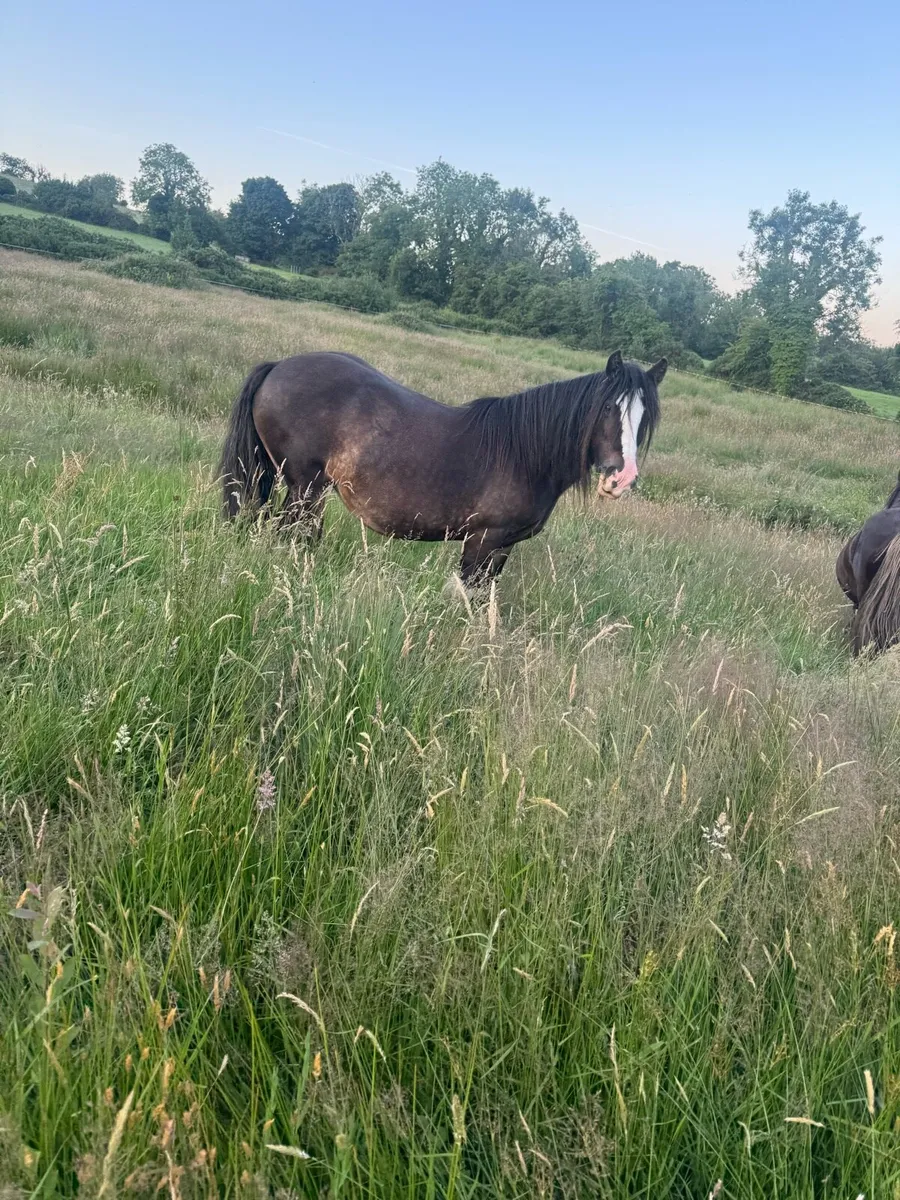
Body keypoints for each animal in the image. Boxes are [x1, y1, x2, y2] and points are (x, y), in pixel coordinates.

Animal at [218, 349, 665, 587]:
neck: (523, 454)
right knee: (293, 536)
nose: (621, 478)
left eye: (644, 417)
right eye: (607, 408)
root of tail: (278, 366)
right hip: (304, 488)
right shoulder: (482, 542)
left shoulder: (502, 548)